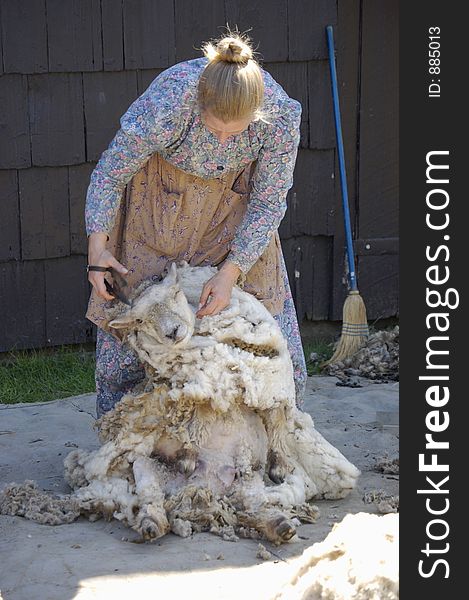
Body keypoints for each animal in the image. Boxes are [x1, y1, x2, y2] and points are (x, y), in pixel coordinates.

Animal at [0, 262, 358, 544]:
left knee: (252, 508)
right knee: (152, 501)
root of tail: (201, 490)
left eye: (174, 295)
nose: (172, 332)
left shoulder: (267, 379)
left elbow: (275, 416)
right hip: (147, 469)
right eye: (140, 321)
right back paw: (152, 524)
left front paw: (281, 463)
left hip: (247, 480)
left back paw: (279, 525)